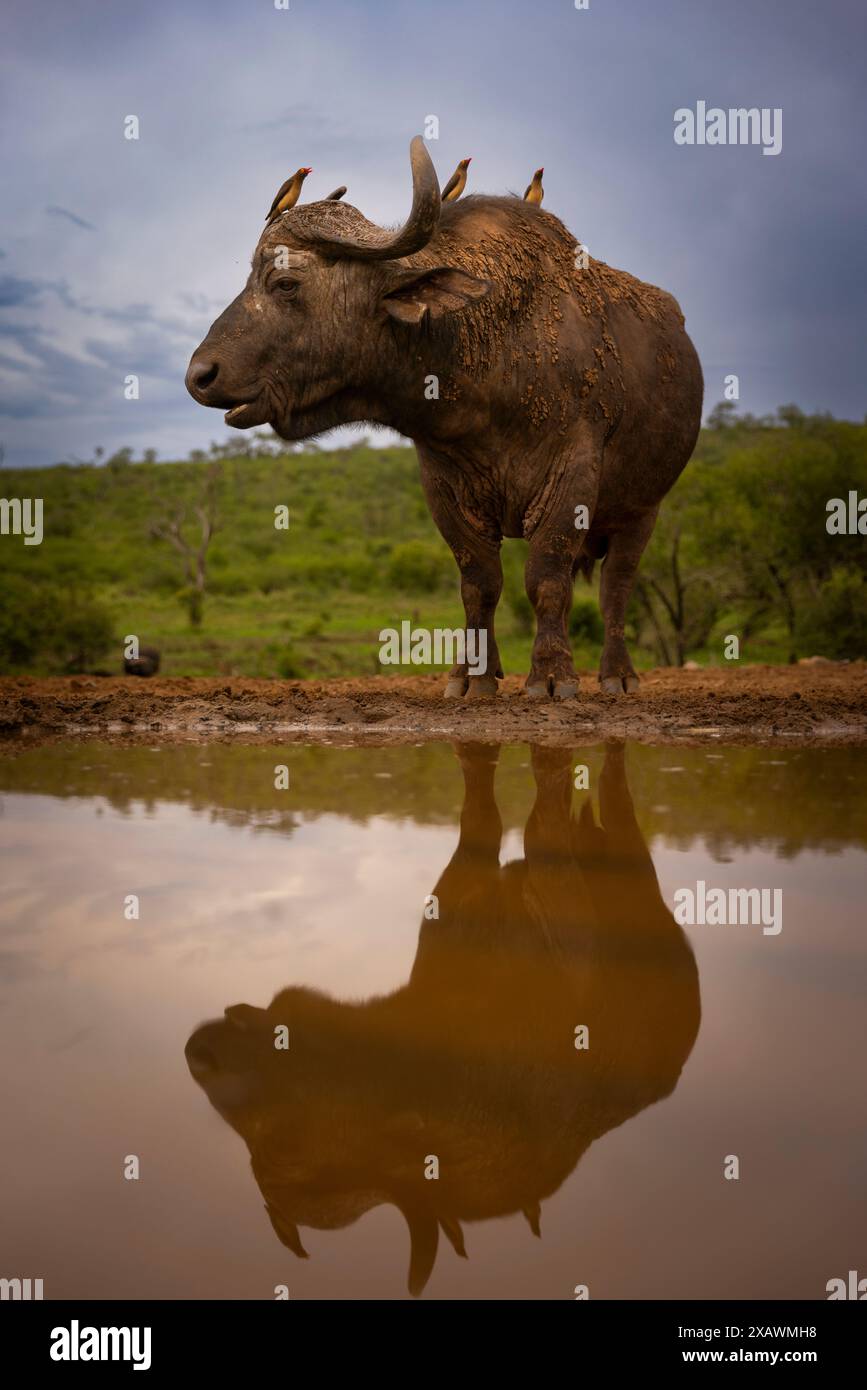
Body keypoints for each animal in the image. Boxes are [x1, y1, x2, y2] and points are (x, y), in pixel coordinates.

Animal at [186, 138, 700, 695]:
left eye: (284, 283)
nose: (200, 375)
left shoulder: (573, 478)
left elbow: (546, 579)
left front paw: (551, 676)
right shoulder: (443, 488)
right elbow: (479, 585)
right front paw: (472, 676)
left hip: (642, 510)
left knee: (616, 589)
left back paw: (617, 675)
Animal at [186, 745, 700, 1295]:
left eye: (286, 1143)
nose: (198, 1055)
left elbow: (542, 811)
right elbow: (482, 807)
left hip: (632, 857)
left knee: (615, 791)